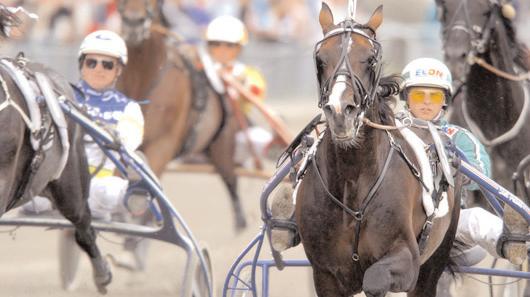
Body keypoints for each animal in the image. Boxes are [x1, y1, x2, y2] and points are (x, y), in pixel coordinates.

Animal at [296, 3, 458, 294]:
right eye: (320, 59)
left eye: (370, 59)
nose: (341, 112)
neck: (352, 180)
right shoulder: (324, 273)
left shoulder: (406, 259)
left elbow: (375, 279)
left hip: (435, 259)